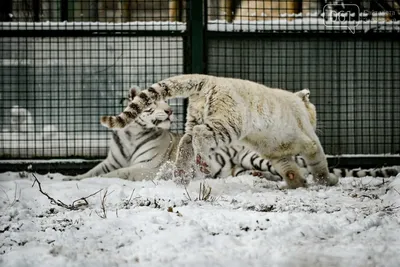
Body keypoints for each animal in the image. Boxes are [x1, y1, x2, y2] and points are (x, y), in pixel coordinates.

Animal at [62, 87, 396, 183]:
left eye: (166, 102)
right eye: (152, 103)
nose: (169, 112)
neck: (132, 134)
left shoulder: (146, 166)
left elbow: (121, 173)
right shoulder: (110, 159)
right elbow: (93, 171)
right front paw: (71, 180)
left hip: (255, 155)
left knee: (289, 168)